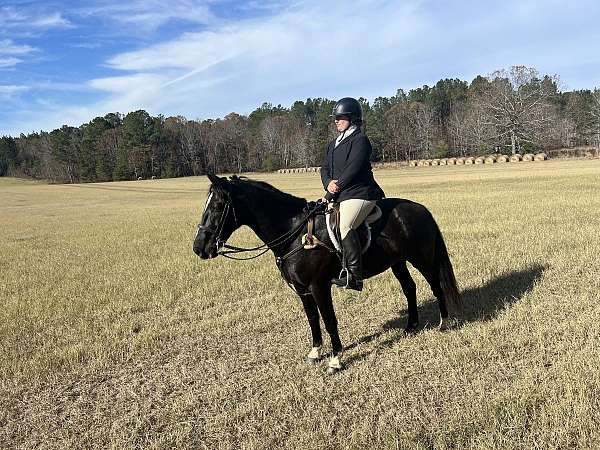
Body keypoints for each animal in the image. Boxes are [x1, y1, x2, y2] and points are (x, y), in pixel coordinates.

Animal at [192, 174, 460, 374]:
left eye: (218, 206)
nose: (199, 248)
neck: (294, 232)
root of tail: (420, 209)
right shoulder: (302, 290)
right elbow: (313, 320)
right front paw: (315, 352)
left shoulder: (319, 286)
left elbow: (329, 320)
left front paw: (336, 360)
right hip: (398, 262)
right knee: (409, 288)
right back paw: (411, 325)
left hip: (422, 259)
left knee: (436, 286)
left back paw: (444, 323)